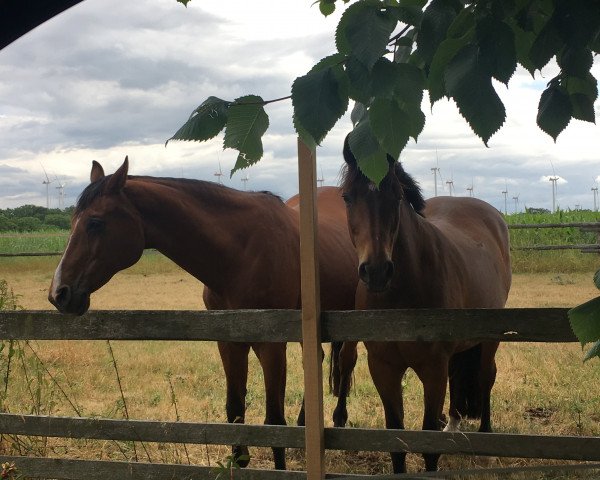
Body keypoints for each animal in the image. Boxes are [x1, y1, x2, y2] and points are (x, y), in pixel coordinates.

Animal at [48, 157, 356, 468]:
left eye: (95, 222)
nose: (59, 293)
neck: (242, 254)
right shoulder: (229, 343)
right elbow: (235, 411)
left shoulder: (272, 345)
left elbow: (274, 422)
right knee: (316, 359)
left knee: (346, 362)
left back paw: (339, 419)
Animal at [342, 141, 510, 474]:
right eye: (347, 197)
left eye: (396, 196)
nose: (377, 271)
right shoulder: (383, 367)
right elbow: (395, 437)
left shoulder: (433, 369)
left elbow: (428, 441)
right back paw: (454, 426)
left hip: (489, 339)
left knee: (485, 378)